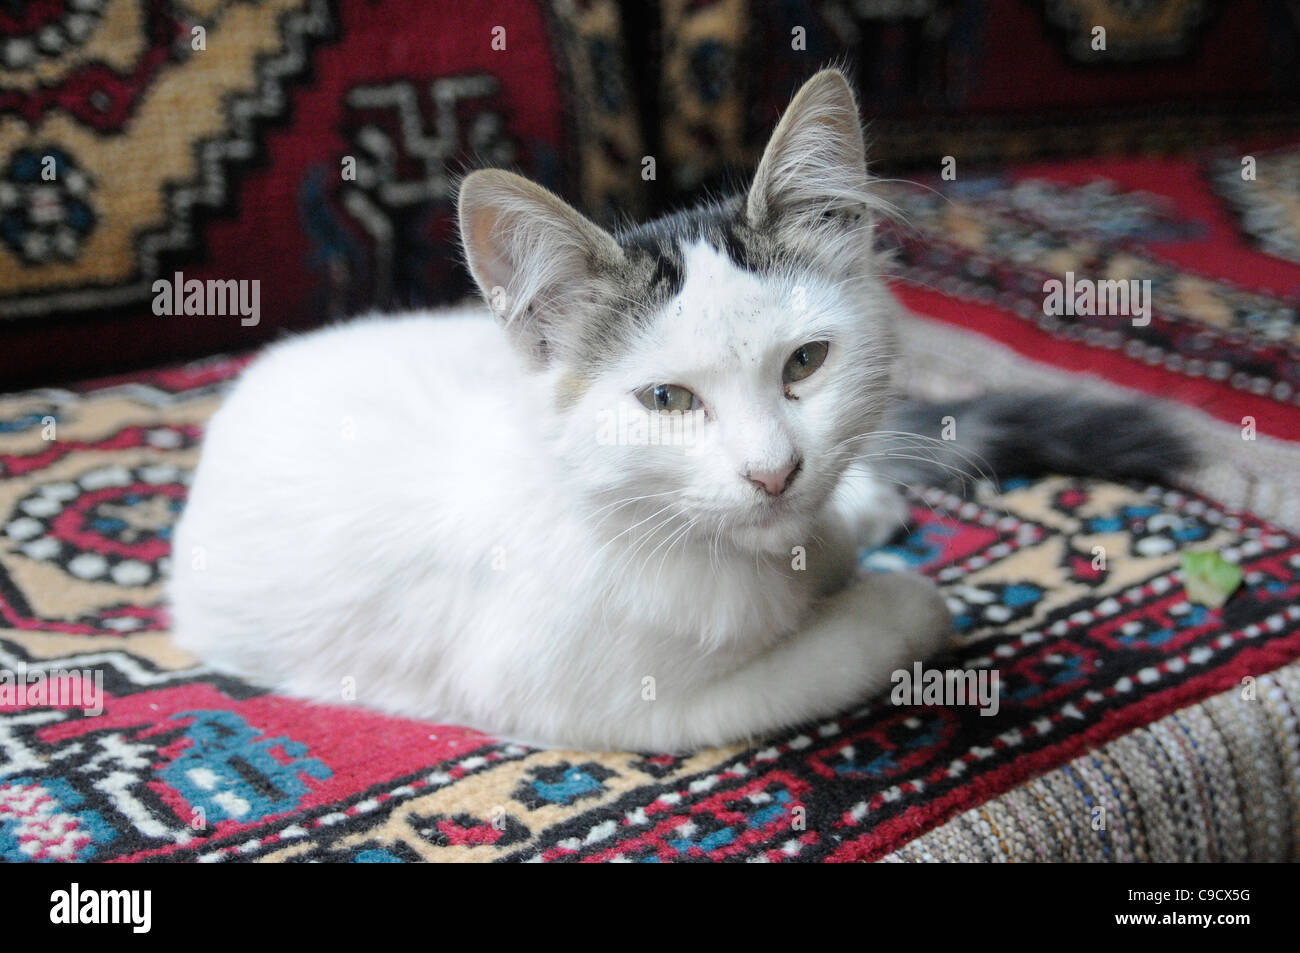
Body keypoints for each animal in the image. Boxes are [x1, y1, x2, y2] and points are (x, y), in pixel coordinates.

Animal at [167, 68, 1190, 748]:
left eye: (807, 362)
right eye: (666, 399)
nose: (775, 471)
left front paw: (846, 528)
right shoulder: (626, 706)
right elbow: (846, 640)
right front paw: (896, 597)